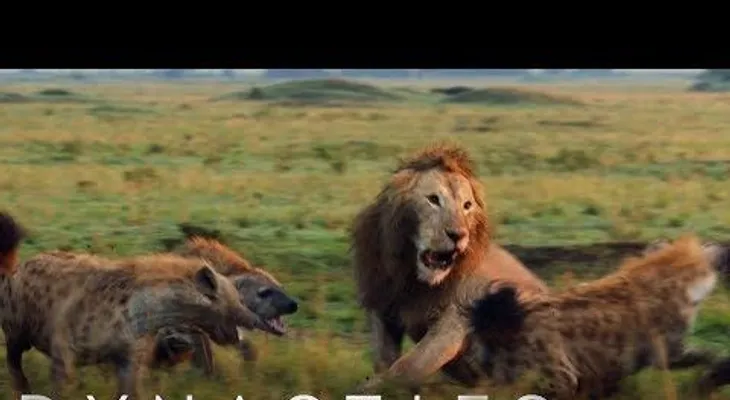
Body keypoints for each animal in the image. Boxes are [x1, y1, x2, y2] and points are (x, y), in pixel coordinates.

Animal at [351, 143, 549, 392]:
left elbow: (407, 366)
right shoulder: (382, 306)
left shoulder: (454, 321)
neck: (412, 277)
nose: (458, 235)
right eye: (433, 200)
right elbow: (384, 361)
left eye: (467, 206)